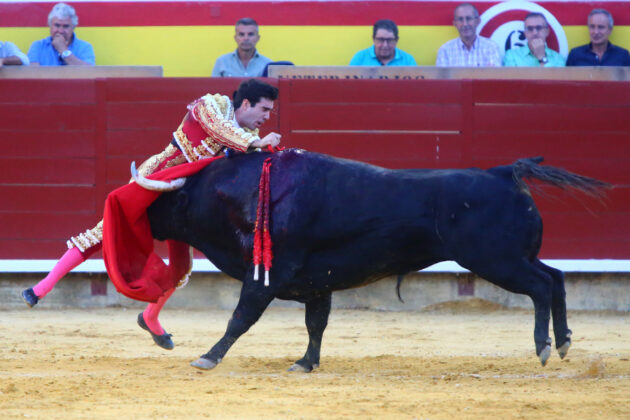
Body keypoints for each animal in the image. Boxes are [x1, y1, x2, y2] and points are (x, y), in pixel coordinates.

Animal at [146, 148, 608, 370]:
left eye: (162, 202)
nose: (144, 219)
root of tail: (502, 172)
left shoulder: (268, 275)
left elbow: (241, 317)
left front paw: (207, 357)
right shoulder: (318, 281)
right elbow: (316, 324)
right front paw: (306, 363)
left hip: (496, 260)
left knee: (541, 285)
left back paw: (545, 345)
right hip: (514, 257)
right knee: (557, 277)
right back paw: (564, 342)